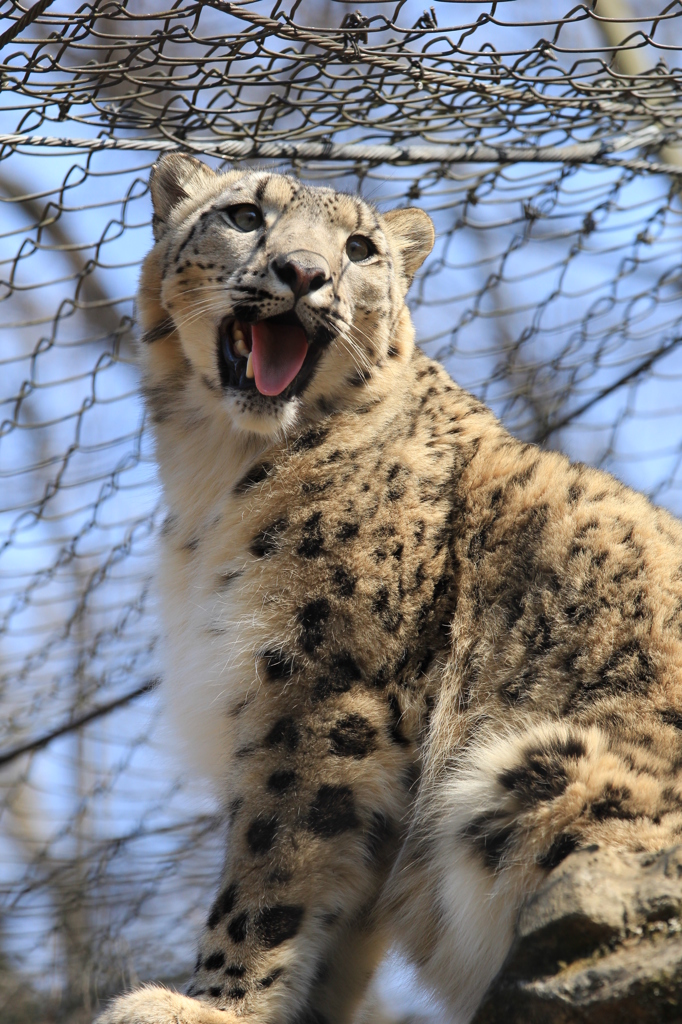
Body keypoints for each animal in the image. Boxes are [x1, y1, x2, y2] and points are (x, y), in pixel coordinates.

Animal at [96, 151, 682, 1024]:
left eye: (361, 248)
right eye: (244, 215)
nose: (304, 274)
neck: (215, 477)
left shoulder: (323, 685)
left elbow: (272, 866)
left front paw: (212, 1005)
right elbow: (337, 916)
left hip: (542, 767)